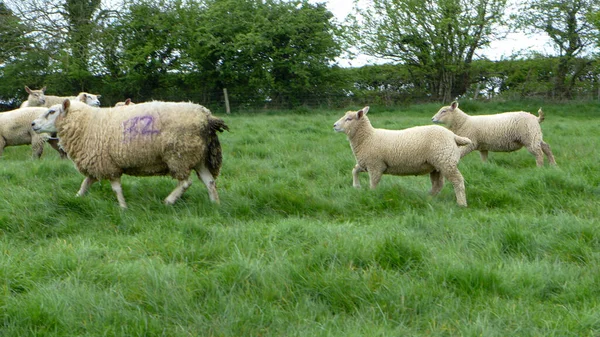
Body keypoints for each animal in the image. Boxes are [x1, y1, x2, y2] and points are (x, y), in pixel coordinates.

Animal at [32, 98, 230, 207]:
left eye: (51, 111)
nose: (33, 124)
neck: (86, 123)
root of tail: (206, 116)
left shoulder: (108, 164)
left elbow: (116, 188)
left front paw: (122, 207)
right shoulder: (97, 164)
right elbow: (85, 184)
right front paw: (76, 199)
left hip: (179, 155)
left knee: (185, 182)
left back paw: (168, 201)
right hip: (198, 157)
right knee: (209, 182)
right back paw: (215, 205)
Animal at [336, 105, 472, 205]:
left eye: (349, 119)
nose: (334, 125)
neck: (367, 138)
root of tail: (453, 136)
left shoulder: (375, 165)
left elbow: (373, 183)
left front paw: (372, 195)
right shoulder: (365, 164)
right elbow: (354, 170)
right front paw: (356, 186)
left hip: (446, 162)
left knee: (458, 181)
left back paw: (461, 204)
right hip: (437, 165)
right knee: (438, 185)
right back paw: (428, 198)